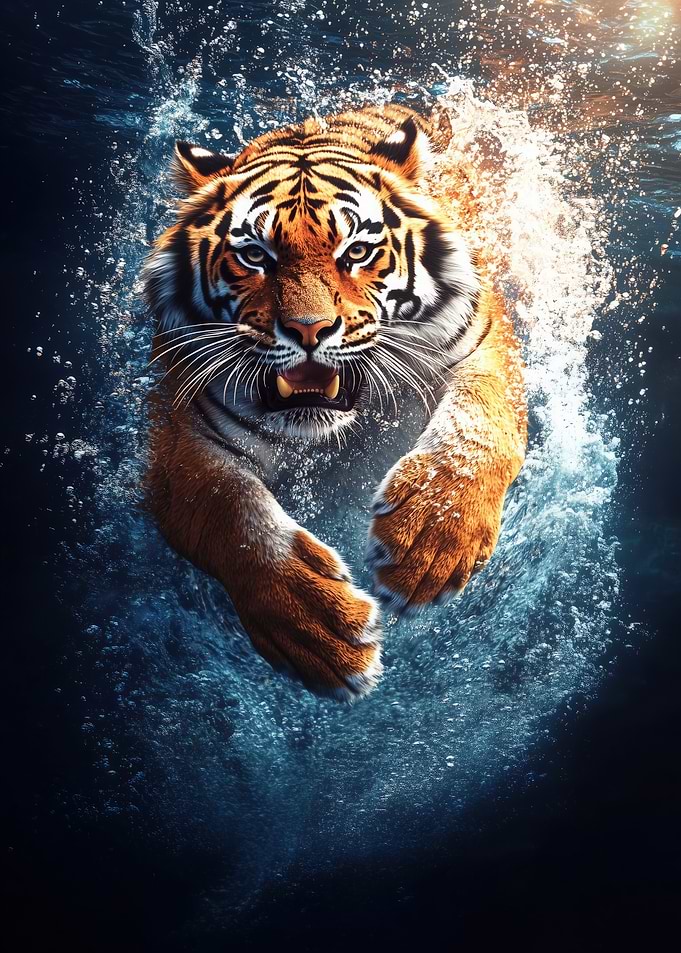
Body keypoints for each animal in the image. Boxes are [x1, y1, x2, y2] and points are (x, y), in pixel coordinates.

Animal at [142, 102, 527, 701]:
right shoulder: (180, 433)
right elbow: (227, 508)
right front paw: (318, 622)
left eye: (358, 252)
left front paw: (429, 543)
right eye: (254, 255)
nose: (309, 329)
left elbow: (476, 430)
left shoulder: (483, 350)